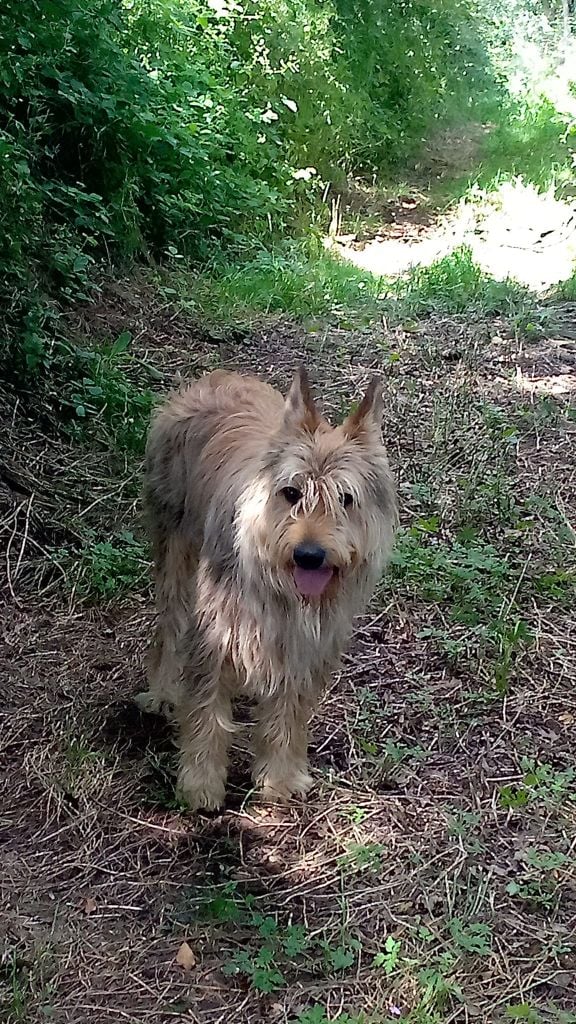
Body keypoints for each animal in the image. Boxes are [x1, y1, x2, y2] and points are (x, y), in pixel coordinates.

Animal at [137, 368, 397, 806]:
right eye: (291, 493)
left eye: (346, 498)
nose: (309, 555)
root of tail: (218, 375)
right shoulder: (214, 633)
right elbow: (206, 711)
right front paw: (200, 784)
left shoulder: (307, 644)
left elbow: (288, 714)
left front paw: (280, 778)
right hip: (174, 550)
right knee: (170, 626)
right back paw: (164, 693)